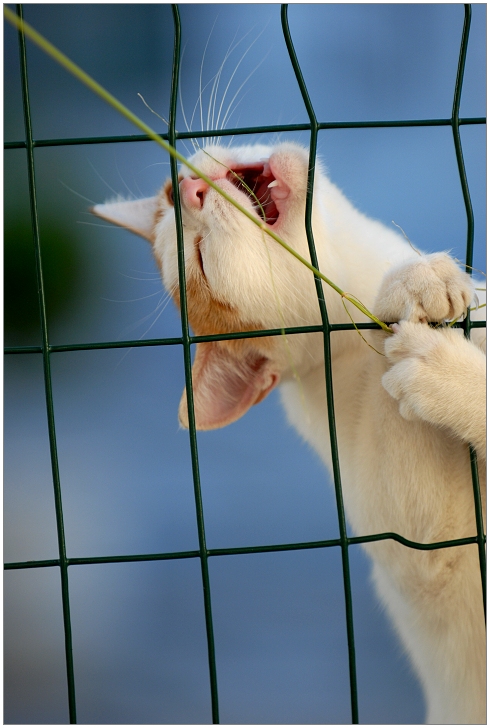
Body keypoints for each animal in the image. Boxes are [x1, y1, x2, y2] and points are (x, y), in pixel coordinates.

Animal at [93, 141, 486, 724]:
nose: (190, 189)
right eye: (202, 259)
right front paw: (418, 325)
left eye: (171, 193)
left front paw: (417, 277)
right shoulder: (425, 546)